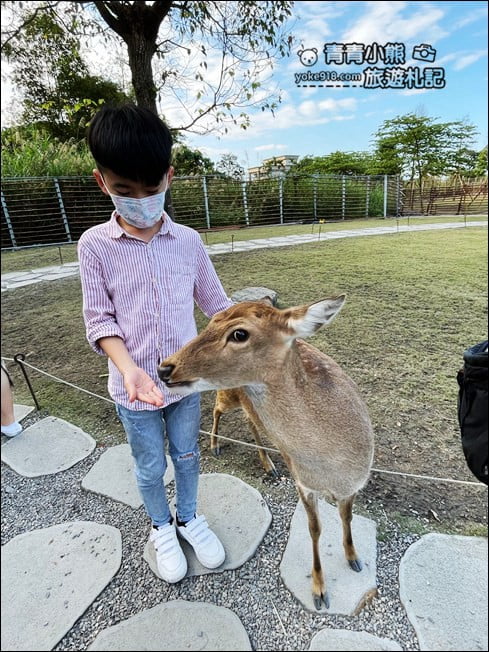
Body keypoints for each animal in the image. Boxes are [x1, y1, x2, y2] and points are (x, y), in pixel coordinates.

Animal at [157, 295, 374, 610]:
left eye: (239, 333)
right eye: (211, 322)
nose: (164, 368)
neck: (332, 470)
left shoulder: (354, 486)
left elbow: (347, 519)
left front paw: (354, 558)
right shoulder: (302, 484)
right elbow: (315, 529)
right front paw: (319, 591)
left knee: (250, 420)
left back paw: (268, 463)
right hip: (230, 394)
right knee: (218, 408)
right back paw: (215, 445)